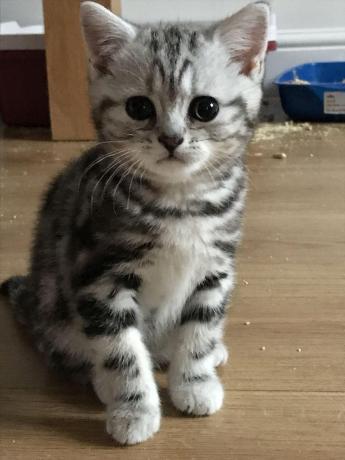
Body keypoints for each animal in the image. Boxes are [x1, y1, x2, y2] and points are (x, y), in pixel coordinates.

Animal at [0, 0, 268, 446]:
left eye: (206, 108)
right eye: (139, 107)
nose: (171, 139)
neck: (180, 204)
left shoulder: (215, 269)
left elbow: (199, 328)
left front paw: (194, 381)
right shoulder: (98, 278)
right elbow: (120, 352)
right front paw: (134, 408)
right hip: (56, 314)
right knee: (71, 354)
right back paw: (103, 382)